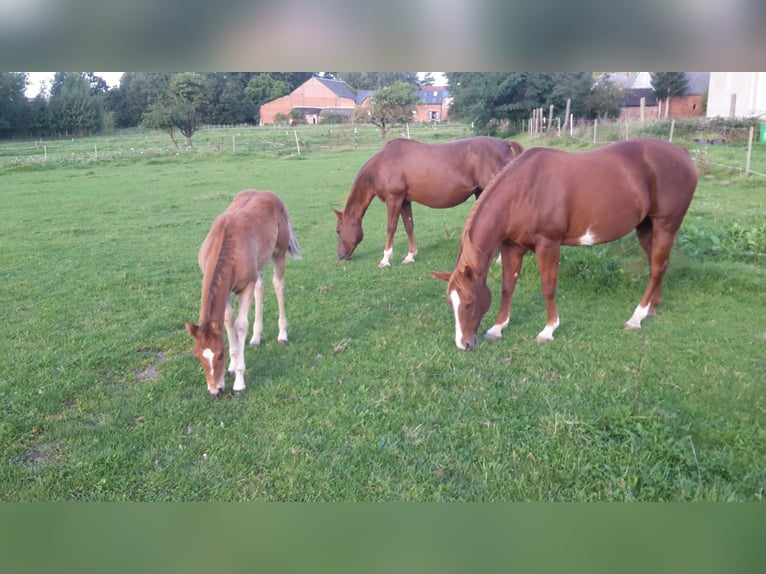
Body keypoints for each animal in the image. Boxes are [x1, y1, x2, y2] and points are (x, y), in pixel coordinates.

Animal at [188, 191, 302, 398]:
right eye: (197, 356)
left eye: (220, 354)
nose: (215, 391)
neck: (226, 246)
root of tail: (271, 194)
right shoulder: (226, 290)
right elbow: (228, 320)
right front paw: (232, 367)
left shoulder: (246, 286)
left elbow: (241, 325)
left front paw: (239, 383)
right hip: (258, 265)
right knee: (261, 287)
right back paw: (256, 338)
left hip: (278, 253)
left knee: (278, 285)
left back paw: (282, 334)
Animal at [338, 137, 528, 268]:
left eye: (338, 230)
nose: (340, 256)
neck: (382, 164)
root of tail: (503, 143)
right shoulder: (404, 201)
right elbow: (409, 226)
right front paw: (410, 256)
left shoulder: (394, 199)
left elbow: (391, 227)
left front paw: (385, 259)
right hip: (482, 192)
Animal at [436, 140, 700, 352]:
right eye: (450, 302)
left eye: (469, 302)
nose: (463, 344)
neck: (524, 192)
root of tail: (682, 153)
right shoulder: (512, 247)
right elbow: (507, 287)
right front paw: (497, 328)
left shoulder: (548, 245)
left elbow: (548, 287)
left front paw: (548, 330)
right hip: (646, 228)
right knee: (660, 264)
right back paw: (652, 309)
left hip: (666, 224)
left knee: (656, 268)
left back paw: (636, 317)